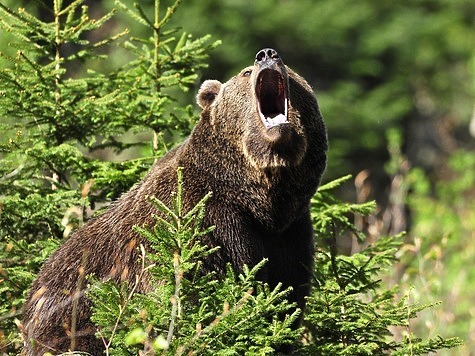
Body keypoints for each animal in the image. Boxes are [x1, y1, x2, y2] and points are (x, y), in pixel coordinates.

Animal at [22, 48, 328, 354]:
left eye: (290, 70)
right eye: (246, 73)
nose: (267, 54)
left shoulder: (289, 235)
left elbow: (284, 300)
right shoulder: (199, 220)